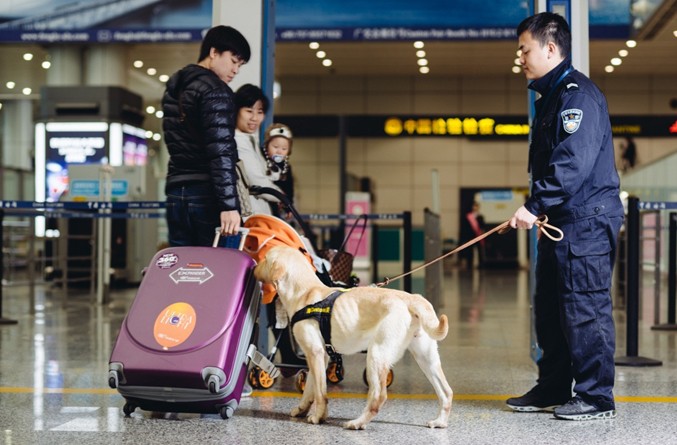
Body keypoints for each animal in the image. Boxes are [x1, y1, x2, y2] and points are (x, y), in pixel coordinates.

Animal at [255, 245, 454, 428]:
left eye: (265, 258)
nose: (254, 266)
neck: (304, 292)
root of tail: (412, 299)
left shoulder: (315, 352)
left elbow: (320, 393)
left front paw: (318, 416)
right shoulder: (318, 356)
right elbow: (310, 388)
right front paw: (302, 409)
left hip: (376, 355)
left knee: (378, 396)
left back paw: (357, 423)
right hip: (426, 358)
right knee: (447, 392)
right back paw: (440, 422)